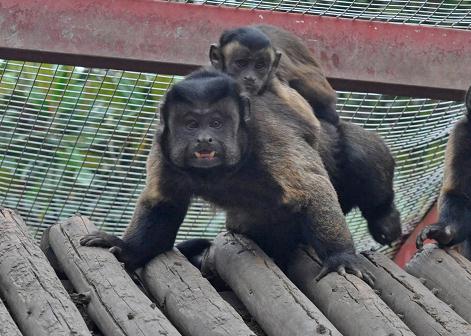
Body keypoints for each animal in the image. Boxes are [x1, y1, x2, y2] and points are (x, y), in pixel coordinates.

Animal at [82, 68, 376, 284]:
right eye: (191, 124)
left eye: (216, 123)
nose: (204, 139)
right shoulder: (161, 146)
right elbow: (162, 202)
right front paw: (129, 249)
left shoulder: (266, 135)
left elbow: (312, 189)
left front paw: (340, 257)